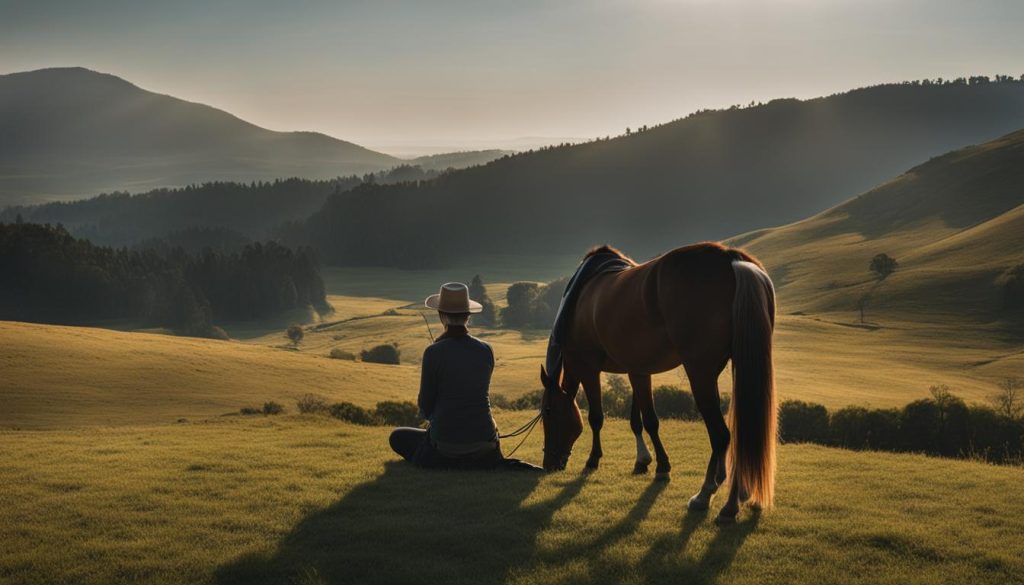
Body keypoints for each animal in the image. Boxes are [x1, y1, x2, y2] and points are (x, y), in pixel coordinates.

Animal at [536, 240, 774, 524]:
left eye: (548, 412)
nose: (549, 464)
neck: (579, 301)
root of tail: (731, 259)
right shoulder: (637, 368)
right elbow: (641, 420)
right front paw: (645, 461)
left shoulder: (588, 368)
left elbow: (598, 417)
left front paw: (595, 459)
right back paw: (737, 492)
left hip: (700, 373)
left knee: (721, 435)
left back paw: (713, 498)